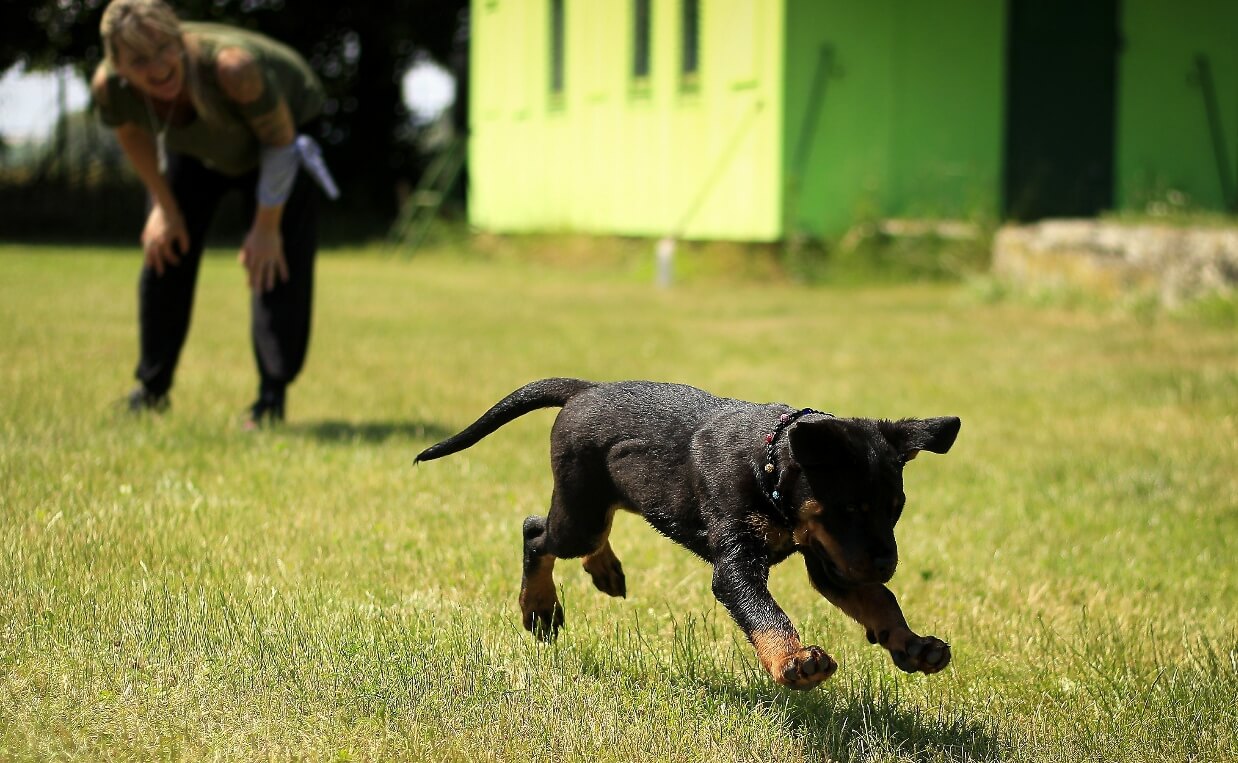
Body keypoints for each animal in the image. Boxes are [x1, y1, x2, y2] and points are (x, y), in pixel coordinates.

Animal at [413, 379, 955, 688]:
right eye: (849, 508)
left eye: (896, 510)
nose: (887, 563)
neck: (768, 462)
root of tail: (584, 389)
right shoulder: (738, 563)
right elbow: (767, 614)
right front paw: (794, 661)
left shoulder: (832, 559)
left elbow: (879, 600)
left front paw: (912, 645)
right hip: (579, 512)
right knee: (535, 533)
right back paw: (540, 608)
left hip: (603, 500)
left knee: (586, 532)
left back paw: (604, 570)